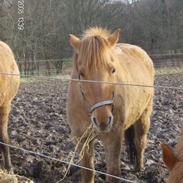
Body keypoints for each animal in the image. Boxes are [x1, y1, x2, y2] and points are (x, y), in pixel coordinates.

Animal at [67, 27, 154, 183]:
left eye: (113, 70)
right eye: (81, 73)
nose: (102, 120)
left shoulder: (113, 137)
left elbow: (113, 172)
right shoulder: (82, 139)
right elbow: (88, 172)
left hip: (144, 116)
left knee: (140, 142)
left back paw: (138, 168)